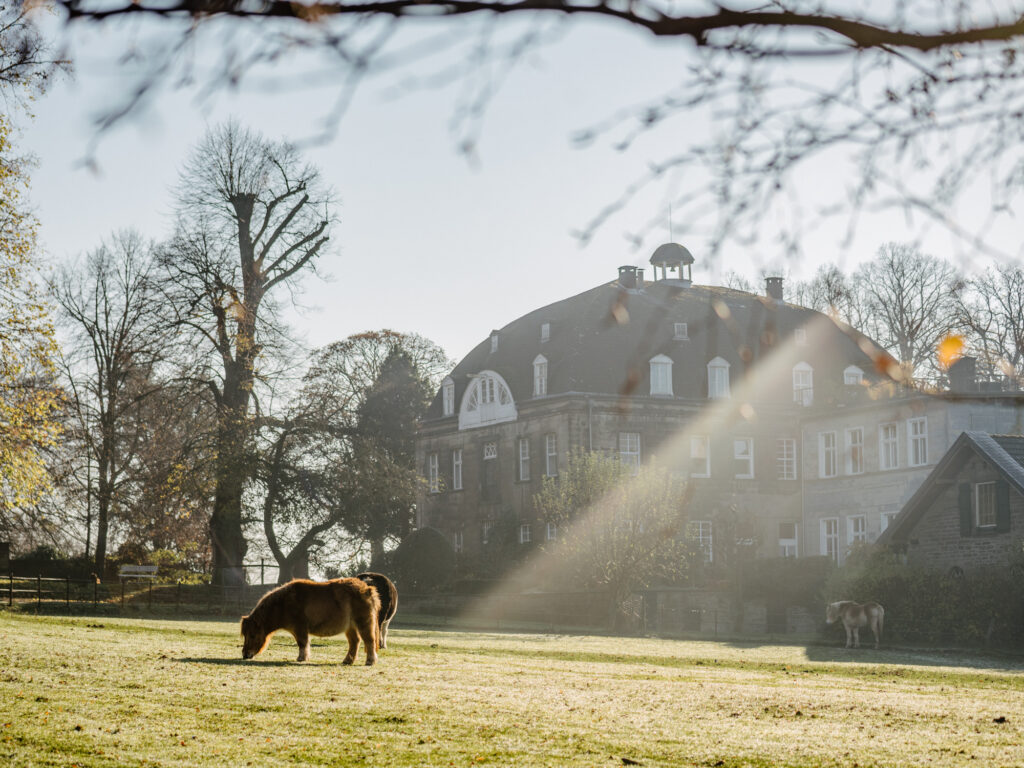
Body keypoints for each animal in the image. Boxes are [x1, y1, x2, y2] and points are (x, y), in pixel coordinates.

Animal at [240, 581, 380, 663]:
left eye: (252, 635)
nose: (245, 655)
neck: (283, 604)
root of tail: (367, 589)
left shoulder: (300, 628)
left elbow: (302, 643)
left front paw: (301, 658)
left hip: (363, 623)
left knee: (369, 640)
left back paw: (370, 661)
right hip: (350, 626)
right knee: (355, 642)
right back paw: (347, 661)